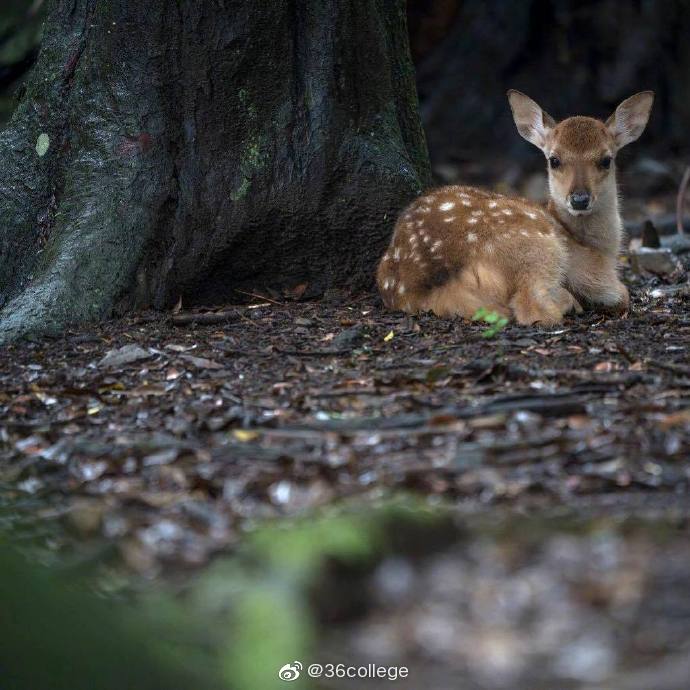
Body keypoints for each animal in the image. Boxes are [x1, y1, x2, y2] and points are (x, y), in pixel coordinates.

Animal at [376, 90, 652, 324]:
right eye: (554, 160)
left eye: (606, 160)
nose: (579, 199)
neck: (600, 248)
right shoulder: (591, 269)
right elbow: (622, 293)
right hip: (537, 246)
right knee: (531, 308)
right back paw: (569, 303)